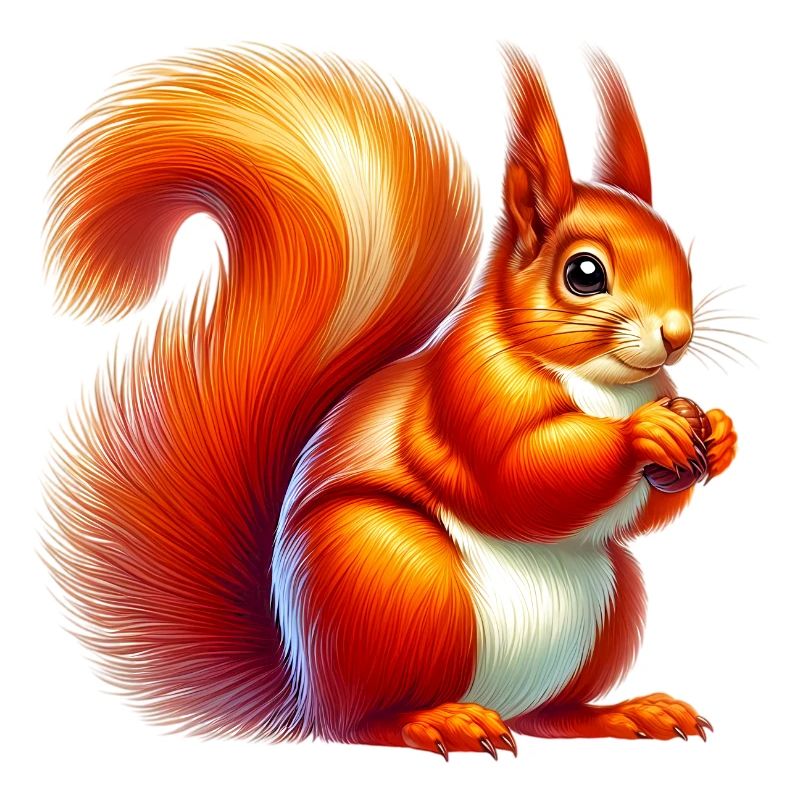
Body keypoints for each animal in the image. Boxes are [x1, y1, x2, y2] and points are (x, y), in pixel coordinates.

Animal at [44, 45, 737, 758]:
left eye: (678, 247)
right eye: (584, 273)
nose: (676, 332)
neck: (606, 384)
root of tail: (304, 685)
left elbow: (642, 514)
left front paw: (717, 430)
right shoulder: (468, 389)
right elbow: (520, 475)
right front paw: (644, 434)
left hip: (610, 609)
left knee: (550, 716)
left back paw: (625, 713)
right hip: (393, 575)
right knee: (360, 726)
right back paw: (438, 721)